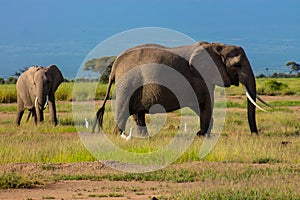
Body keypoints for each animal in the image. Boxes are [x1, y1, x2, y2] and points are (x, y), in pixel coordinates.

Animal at [92, 41, 270, 136]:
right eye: (237, 65)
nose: (255, 134)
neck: (217, 46)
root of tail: (115, 64)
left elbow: (202, 106)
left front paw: (203, 134)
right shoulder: (201, 76)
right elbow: (206, 104)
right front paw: (202, 135)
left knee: (138, 114)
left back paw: (145, 138)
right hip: (127, 83)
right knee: (124, 110)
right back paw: (118, 136)